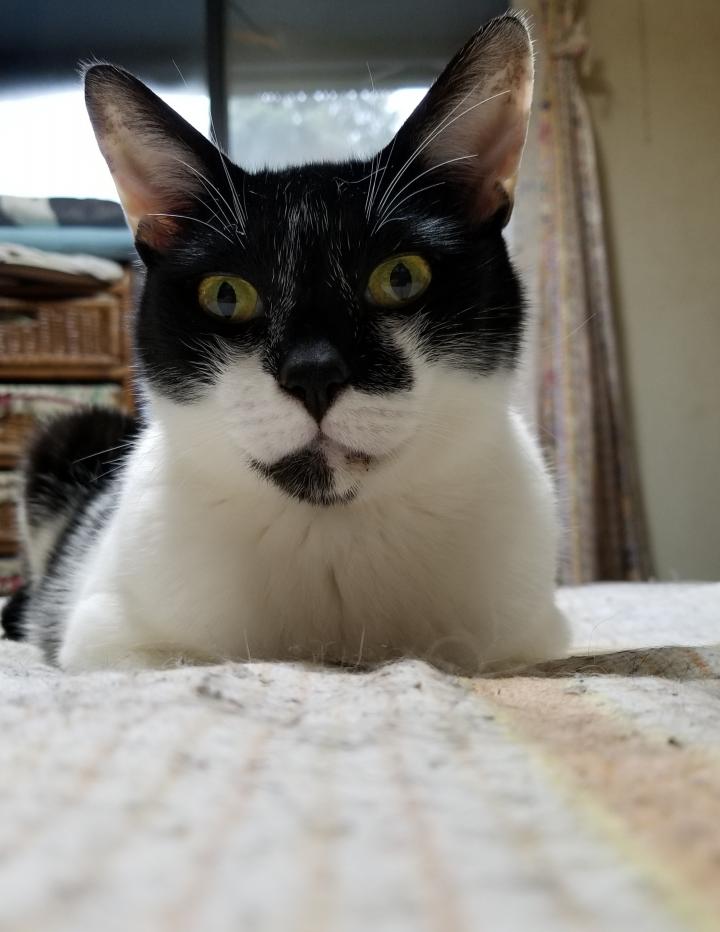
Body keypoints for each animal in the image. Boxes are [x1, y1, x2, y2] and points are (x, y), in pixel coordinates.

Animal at [2, 13, 569, 672]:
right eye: (226, 295)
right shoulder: (106, 634)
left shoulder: (534, 635)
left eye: (401, 277)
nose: (313, 373)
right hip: (70, 437)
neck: (332, 535)